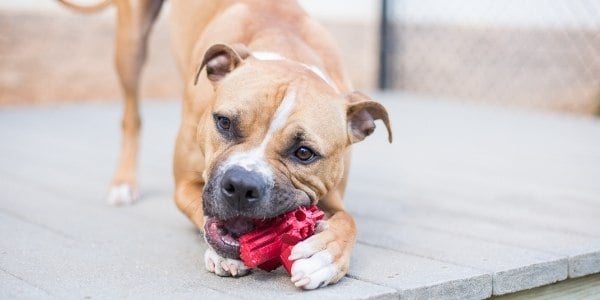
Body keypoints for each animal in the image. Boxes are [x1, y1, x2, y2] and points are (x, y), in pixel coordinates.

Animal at [58, 0, 392, 290]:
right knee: (131, 116)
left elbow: (349, 222)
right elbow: (202, 211)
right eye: (224, 122)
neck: (286, 51)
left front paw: (326, 256)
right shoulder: (184, 185)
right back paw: (124, 184)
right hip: (131, 44)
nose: (243, 185)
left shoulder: (332, 196)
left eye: (304, 153)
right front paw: (220, 255)